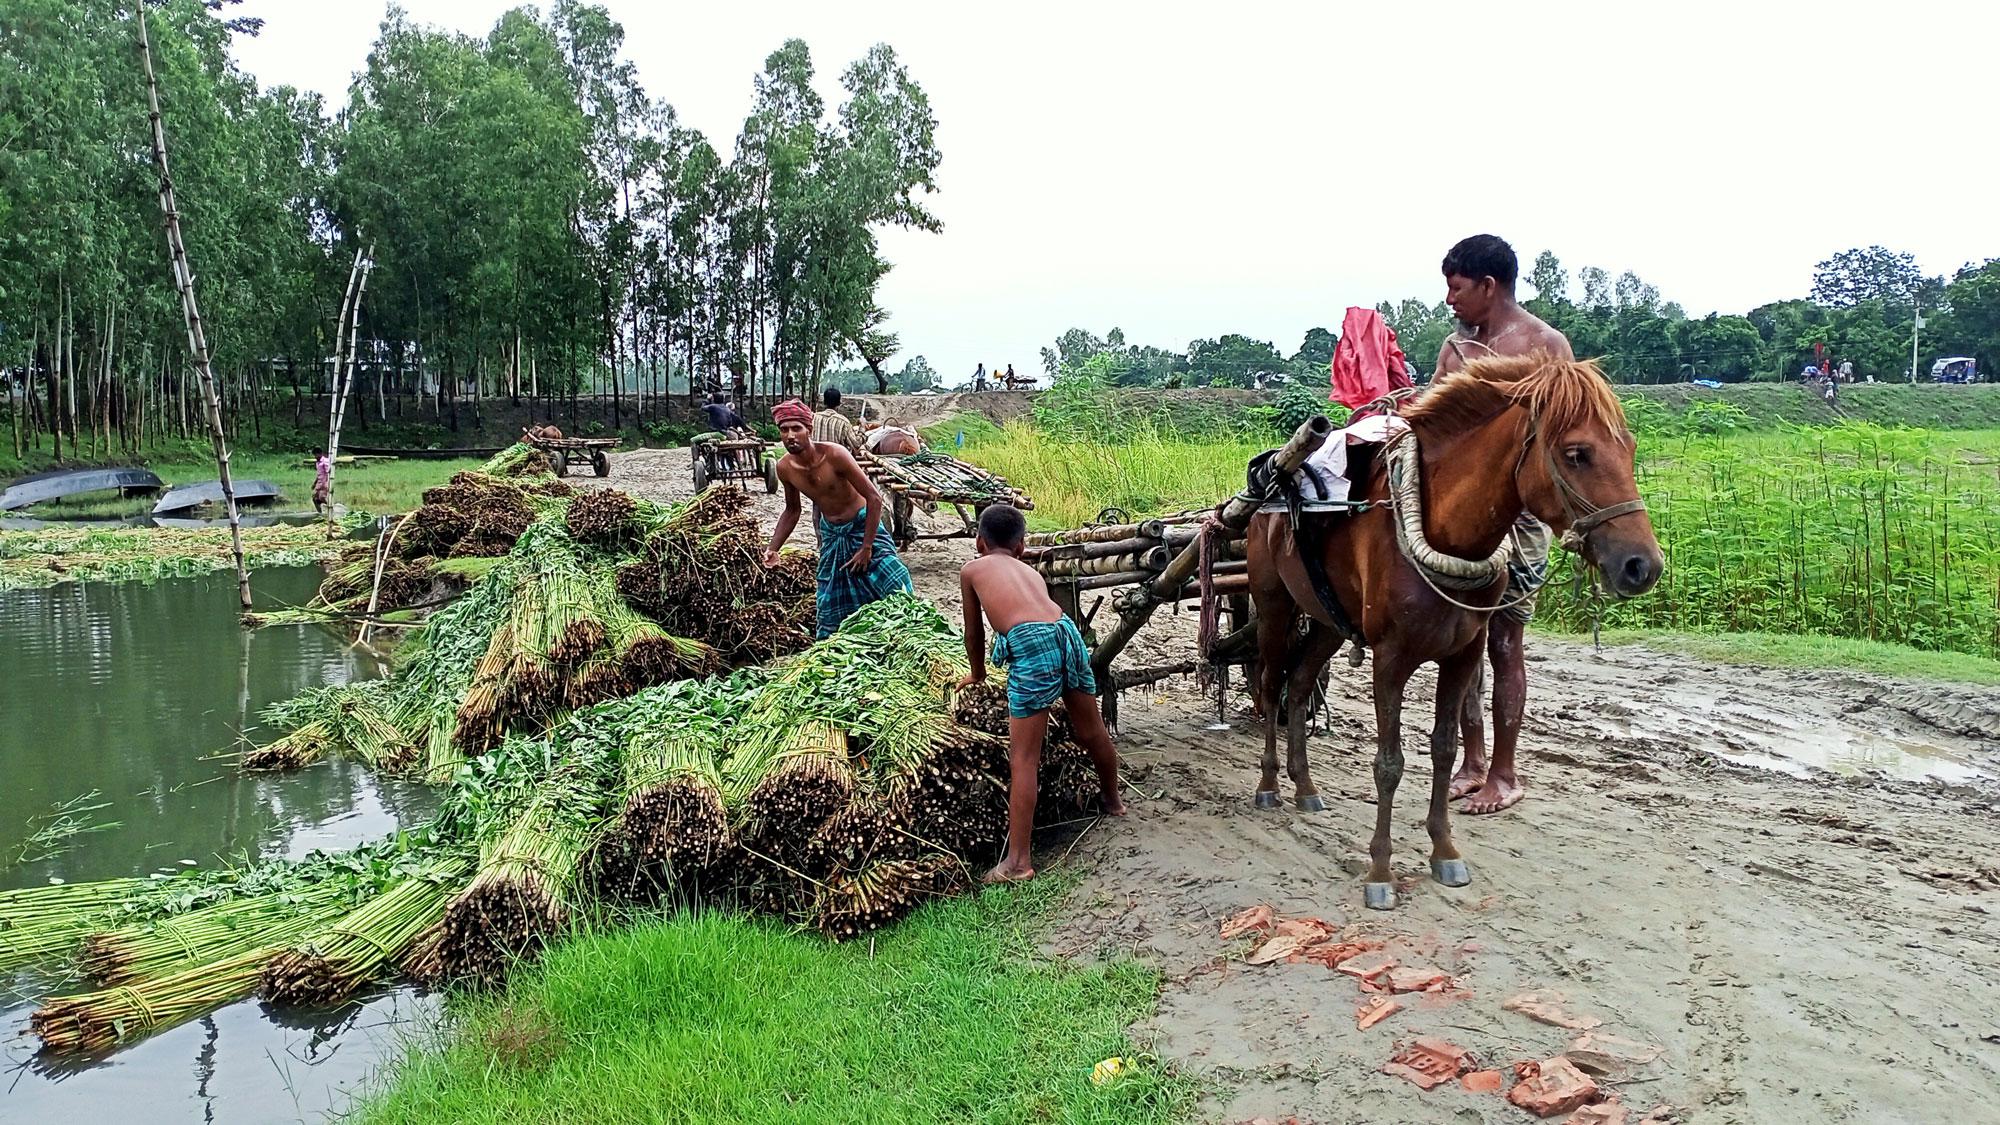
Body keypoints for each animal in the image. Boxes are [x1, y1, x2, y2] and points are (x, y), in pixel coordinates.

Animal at [1248, 354, 1656, 904]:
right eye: (1577, 453)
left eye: (1629, 448)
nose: (1643, 566)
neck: (1445, 530)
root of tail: (1270, 479)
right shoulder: (1390, 658)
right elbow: (1389, 763)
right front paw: (1380, 872)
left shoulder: (1464, 652)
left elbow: (1444, 749)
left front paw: (1444, 850)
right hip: (1273, 605)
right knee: (1272, 686)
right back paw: (1270, 786)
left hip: (1330, 621)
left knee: (1300, 682)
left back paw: (1305, 787)